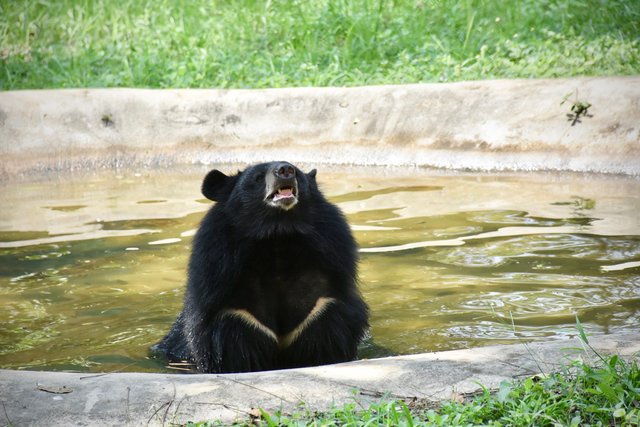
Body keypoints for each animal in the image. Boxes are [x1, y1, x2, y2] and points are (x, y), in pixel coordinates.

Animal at [152, 162, 368, 372]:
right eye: (258, 177)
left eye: (297, 173)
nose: (285, 170)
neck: (277, 237)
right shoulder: (226, 304)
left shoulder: (325, 304)